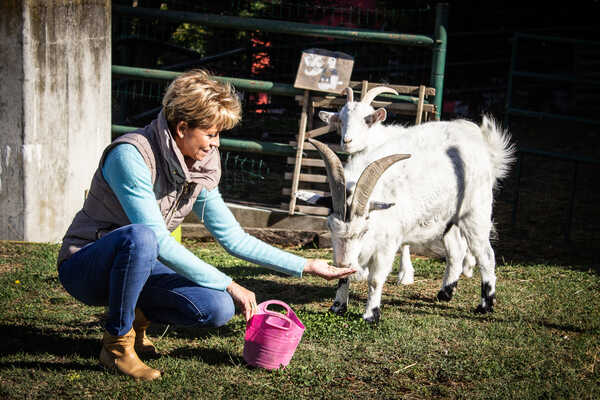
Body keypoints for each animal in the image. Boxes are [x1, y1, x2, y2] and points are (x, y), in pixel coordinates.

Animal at [308, 115, 512, 322]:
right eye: (330, 227)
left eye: (364, 231)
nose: (344, 263)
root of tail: (478, 137)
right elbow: (343, 276)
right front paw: (337, 307)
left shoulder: (387, 244)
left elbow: (375, 279)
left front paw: (371, 315)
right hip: (447, 220)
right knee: (456, 251)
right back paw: (445, 293)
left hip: (475, 213)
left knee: (486, 255)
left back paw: (485, 305)